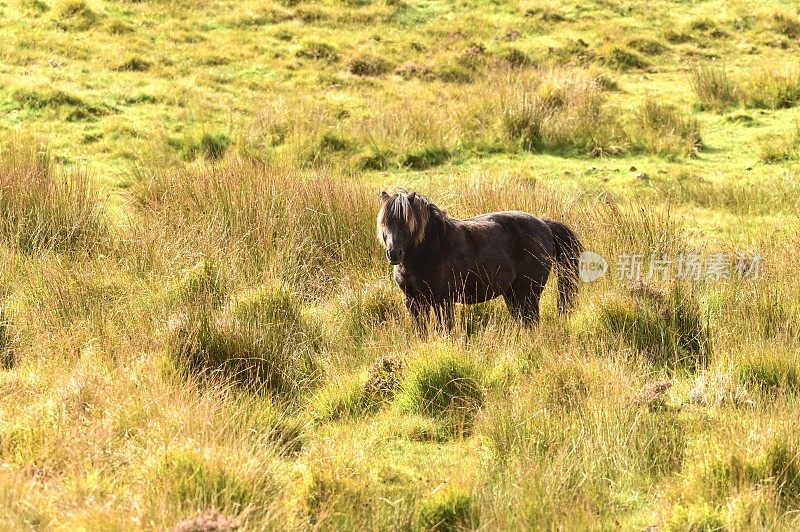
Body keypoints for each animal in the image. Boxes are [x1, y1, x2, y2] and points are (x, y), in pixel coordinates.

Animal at [378, 193, 584, 330]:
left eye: (407, 223)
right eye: (384, 223)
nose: (394, 253)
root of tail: (544, 225)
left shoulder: (442, 300)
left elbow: (446, 329)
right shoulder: (412, 301)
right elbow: (420, 330)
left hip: (528, 294)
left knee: (531, 321)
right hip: (513, 294)